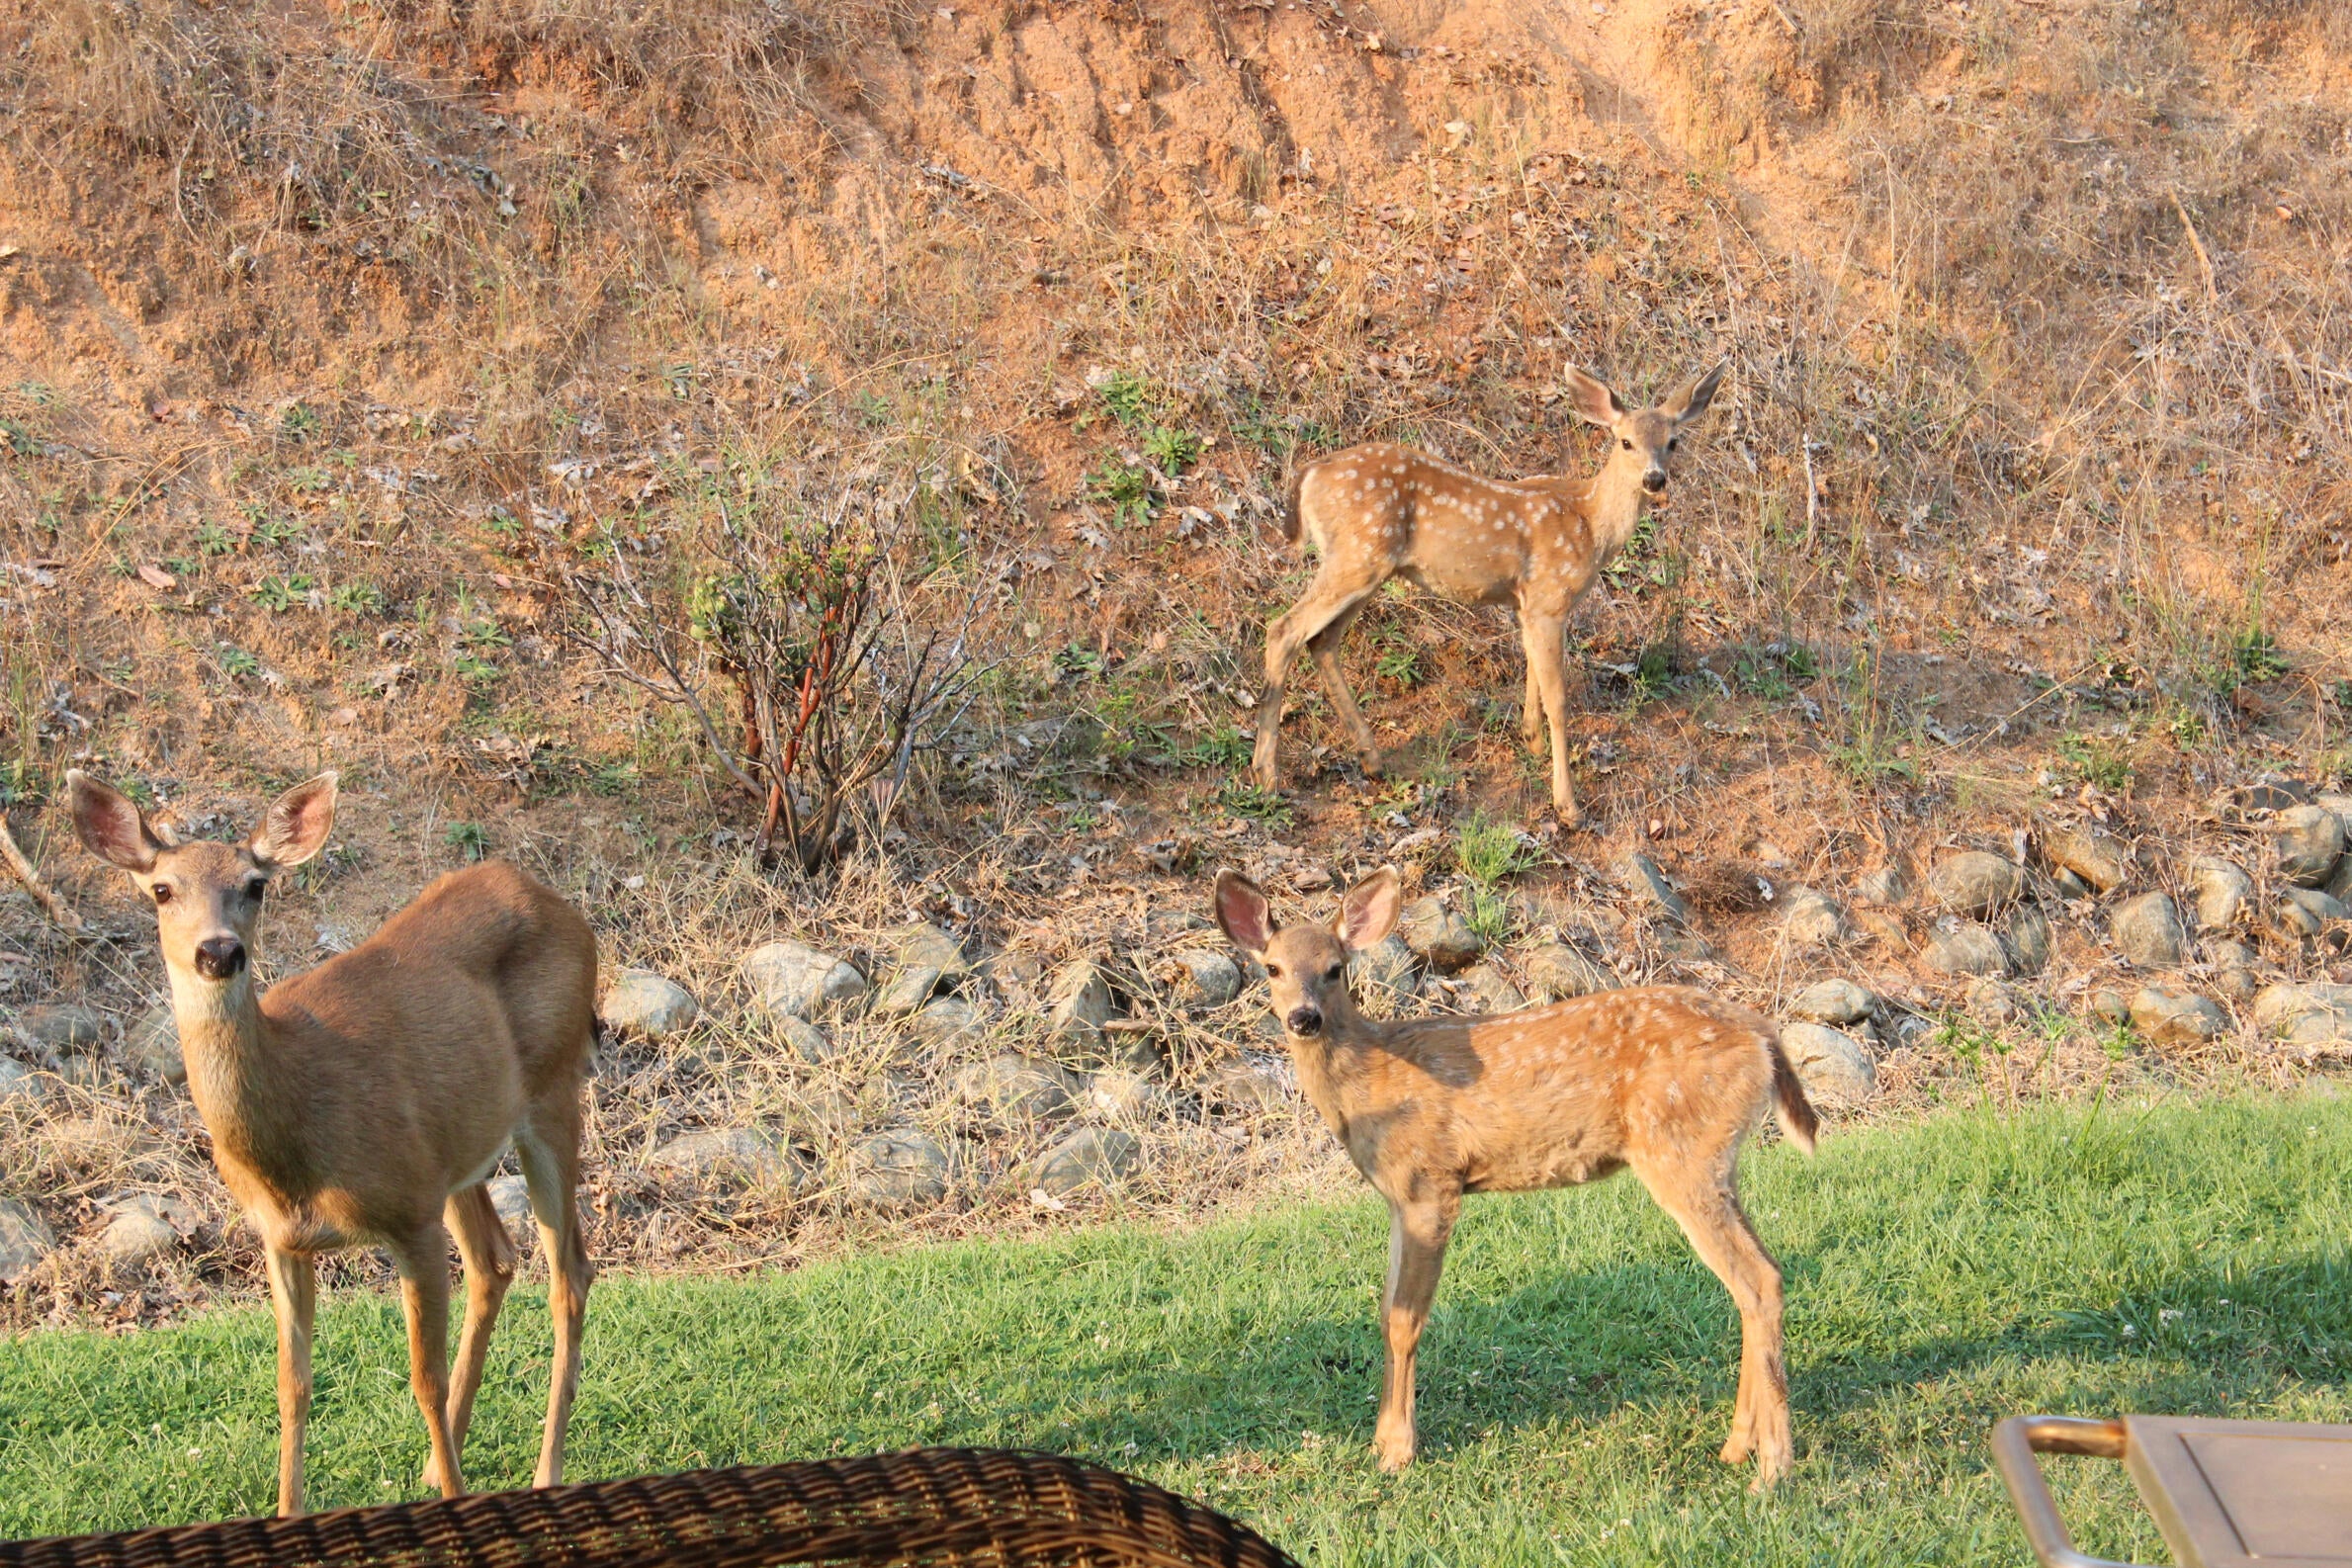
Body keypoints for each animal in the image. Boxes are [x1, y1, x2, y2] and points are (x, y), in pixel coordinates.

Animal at [67, 770, 597, 1517]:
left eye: (255, 885)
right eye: (162, 890)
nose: (218, 952)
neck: (294, 1144)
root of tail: (561, 905)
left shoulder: (408, 1215)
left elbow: (423, 1379)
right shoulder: (281, 1238)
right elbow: (292, 1385)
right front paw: (290, 1511)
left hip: (553, 1088)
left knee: (569, 1273)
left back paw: (543, 1473)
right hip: (456, 1149)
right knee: (495, 1260)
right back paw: (438, 1465)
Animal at [1212, 865, 1816, 1488]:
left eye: (1335, 968)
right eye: (1272, 968)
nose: (1303, 1017)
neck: (1370, 1080)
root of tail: (1763, 1034)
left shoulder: (1432, 1180)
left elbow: (1406, 1319)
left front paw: (1398, 1450)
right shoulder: (1398, 1198)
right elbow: (1383, 1312)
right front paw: (1381, 1439)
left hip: (1680, 1150)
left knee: (1756, 1280)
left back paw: (1773, 1467)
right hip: (1716, 1158)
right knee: (1763, 1275)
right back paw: (1738, 1446)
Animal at [1251, 362, 1726, 826]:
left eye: (1673, 442)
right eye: (1625, 442)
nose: (1654, 479)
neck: (1589, 524)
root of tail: (1309, 474)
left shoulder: (1527, 603)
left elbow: (1532, 672)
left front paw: (1531, 740)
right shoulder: (1550, 598)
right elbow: (1558, 698)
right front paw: (1567, 806)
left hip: (1366, 567)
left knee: (1321, 640)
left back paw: (1371, 759)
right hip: (1358, 556)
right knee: (1284, 630)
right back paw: (1267, 775)